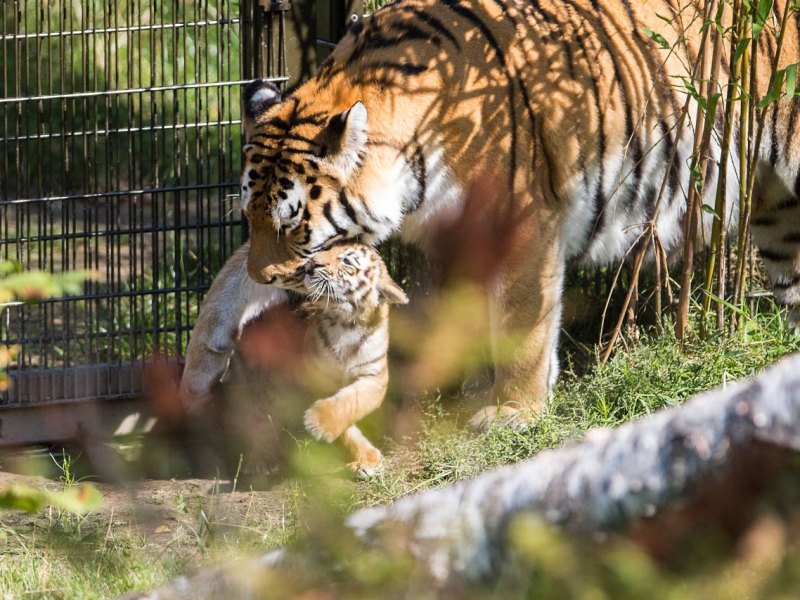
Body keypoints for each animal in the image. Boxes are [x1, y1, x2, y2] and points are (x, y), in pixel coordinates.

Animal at [183, 0, 800, 431]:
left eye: (292, 227)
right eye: (251, 219)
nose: (271, 277)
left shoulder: (523, 222)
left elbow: (522, 324)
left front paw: (515, 411)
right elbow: (229, 279)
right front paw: (199, 368)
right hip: (779, 215)